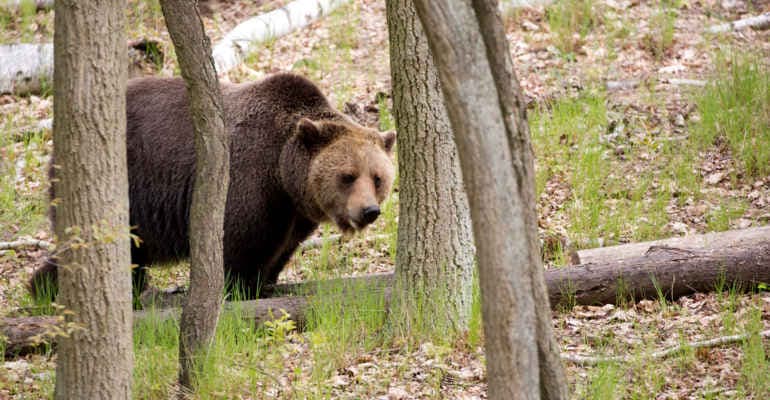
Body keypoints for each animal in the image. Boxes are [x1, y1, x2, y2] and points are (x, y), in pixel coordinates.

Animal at [30, 72, 396, 299]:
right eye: (347, 175)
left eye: (377, 178)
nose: (368, 211)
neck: (283, 175)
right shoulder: (247, 182)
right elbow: (237, 243)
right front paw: (239, 290)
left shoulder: (292, 213)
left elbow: (280, 250)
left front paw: (266, 282)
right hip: (130, 184)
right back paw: (46, 289)